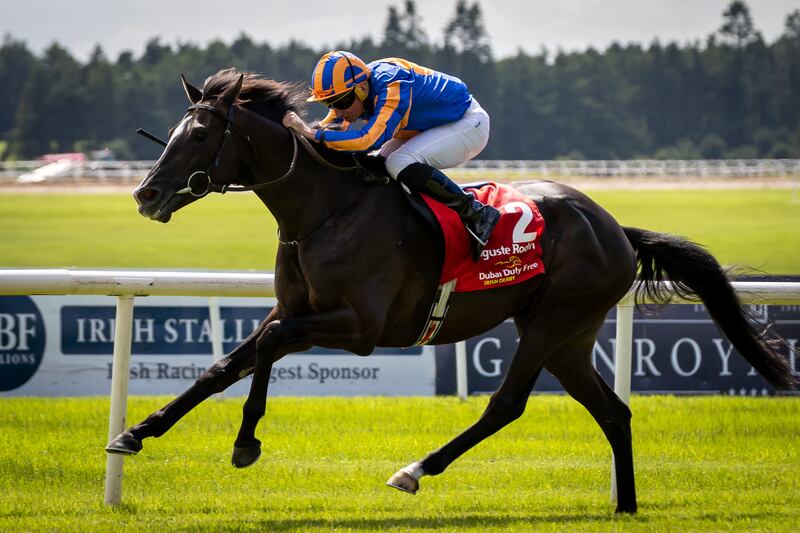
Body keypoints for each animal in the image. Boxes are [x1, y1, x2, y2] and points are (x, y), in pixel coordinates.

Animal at [109, 67, 796, 512]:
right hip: (570, 337)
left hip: (553, 321)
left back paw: (414, 470)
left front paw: (245, 441)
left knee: (506, 405)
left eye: (201, 135)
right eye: (175, 130)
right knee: (614, 411)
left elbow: (271, 345)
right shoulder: (296, 306)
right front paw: (137, 433)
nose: (145, 193)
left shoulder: (359, 326)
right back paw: (624, 506)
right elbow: (226, 364)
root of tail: (615, 229)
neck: (324, 210)